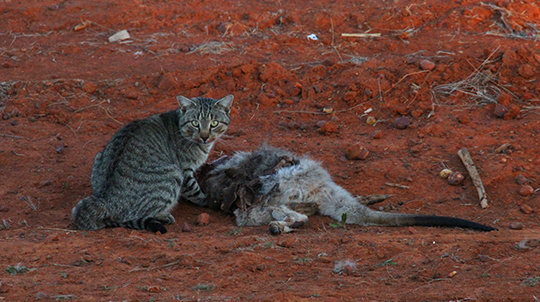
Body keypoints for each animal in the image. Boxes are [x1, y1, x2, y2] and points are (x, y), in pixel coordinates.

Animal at [71, 94, 232, 234]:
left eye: (214, 123)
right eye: (195, 123)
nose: (205, 137)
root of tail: (105, 200)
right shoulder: (184, 171)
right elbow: (195, 191)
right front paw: (209, 200)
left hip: (99, 157)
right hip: (172, 174)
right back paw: (164, 215)